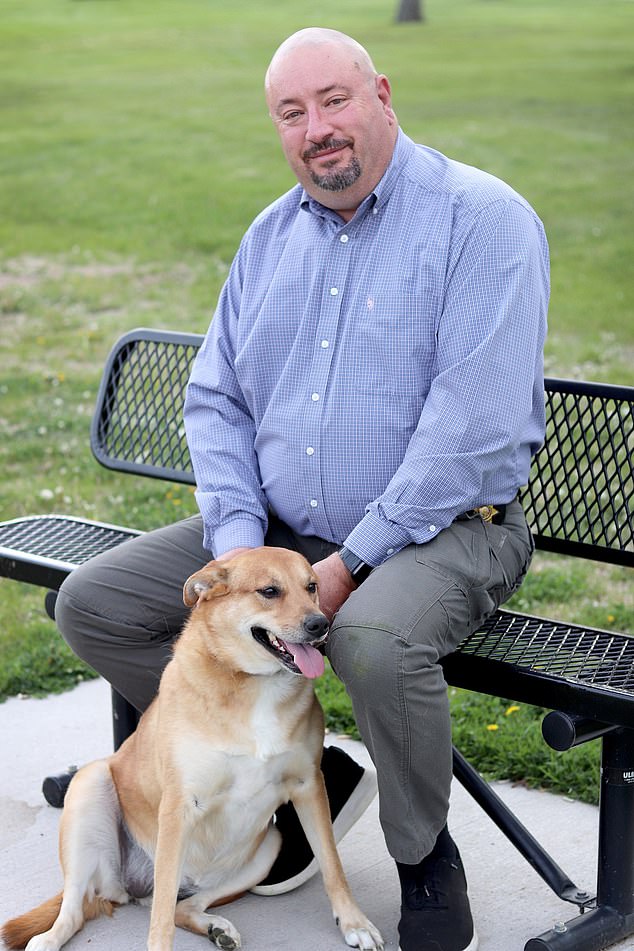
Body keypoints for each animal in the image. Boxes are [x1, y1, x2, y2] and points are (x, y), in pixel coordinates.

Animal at [2, 548, 382, 951]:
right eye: (269, 591)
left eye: (312, 587)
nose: (319, 624)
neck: (253, 684)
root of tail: (131, 890)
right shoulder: (180, 805)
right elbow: (160, 919)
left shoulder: (308, 785)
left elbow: (332, 864)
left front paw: (354, 922)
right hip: (90, 786)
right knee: (84, 908)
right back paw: (47, 939)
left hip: (267, 847)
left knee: (183, 907)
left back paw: (216, 927)